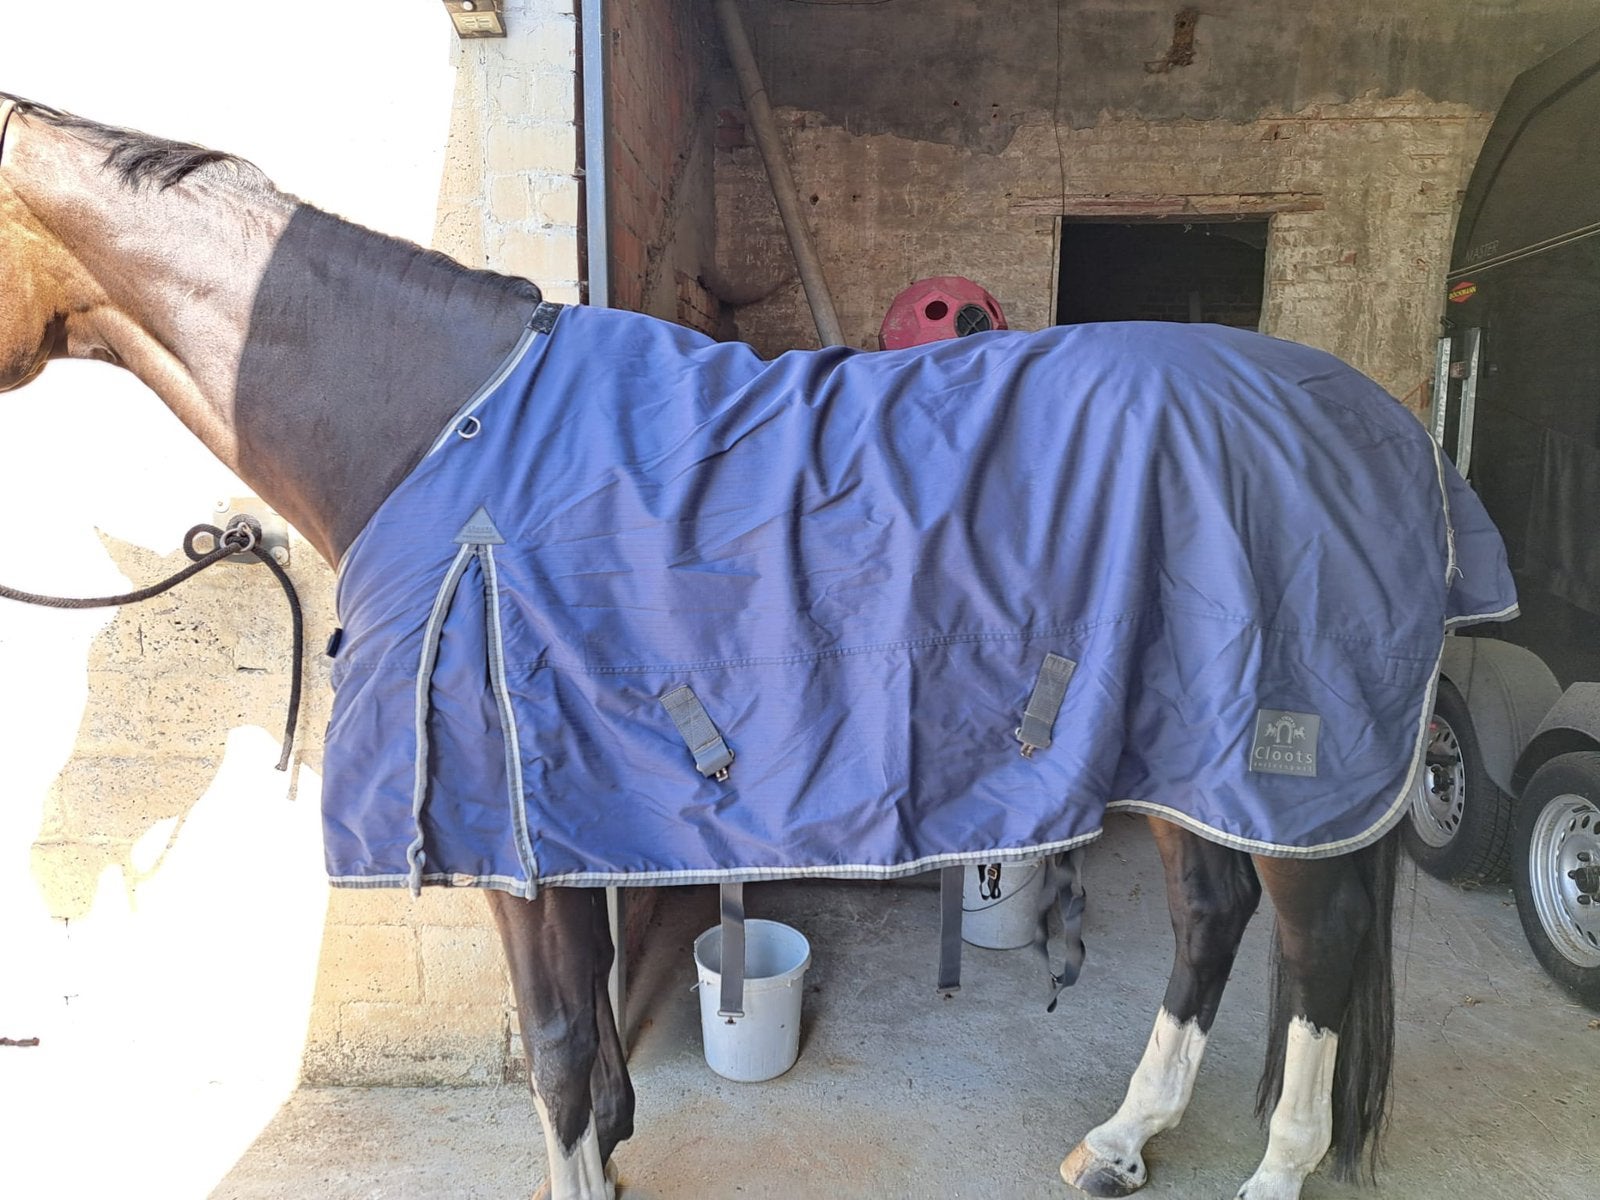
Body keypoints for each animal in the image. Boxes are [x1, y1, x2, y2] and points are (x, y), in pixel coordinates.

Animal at [0, 94, 1517, 1200]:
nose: (61, 885)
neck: (434, 424)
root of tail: (1388, 431)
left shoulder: (510, 834)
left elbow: (556, 1045)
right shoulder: (566, 817)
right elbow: (589, 1033)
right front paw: (612, 1147)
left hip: (1283, 764)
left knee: (1317, 955)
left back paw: (1273, 1170)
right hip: (1190, 759)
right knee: (1213, 920)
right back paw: (1121, 1141)